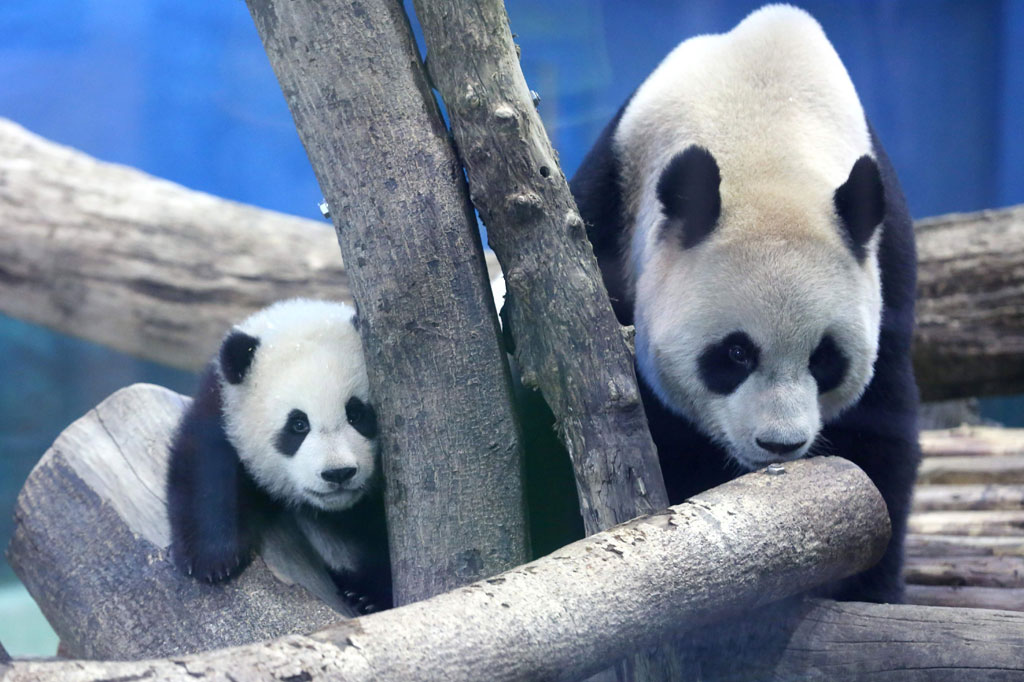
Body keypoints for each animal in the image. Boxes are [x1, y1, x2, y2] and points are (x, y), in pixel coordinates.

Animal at [166, 298, 391, 613]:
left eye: (356, 414)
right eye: (298, 425)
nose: (338, 473)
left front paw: (368, 595)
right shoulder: (225, 407)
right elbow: (206, 468)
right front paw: (212, 559)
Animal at [531, 5, 918, 603]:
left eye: (824, 358)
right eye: (736, 354)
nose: (779, 444)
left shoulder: (888, 265)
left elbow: (880, 433)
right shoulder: (612, 200)